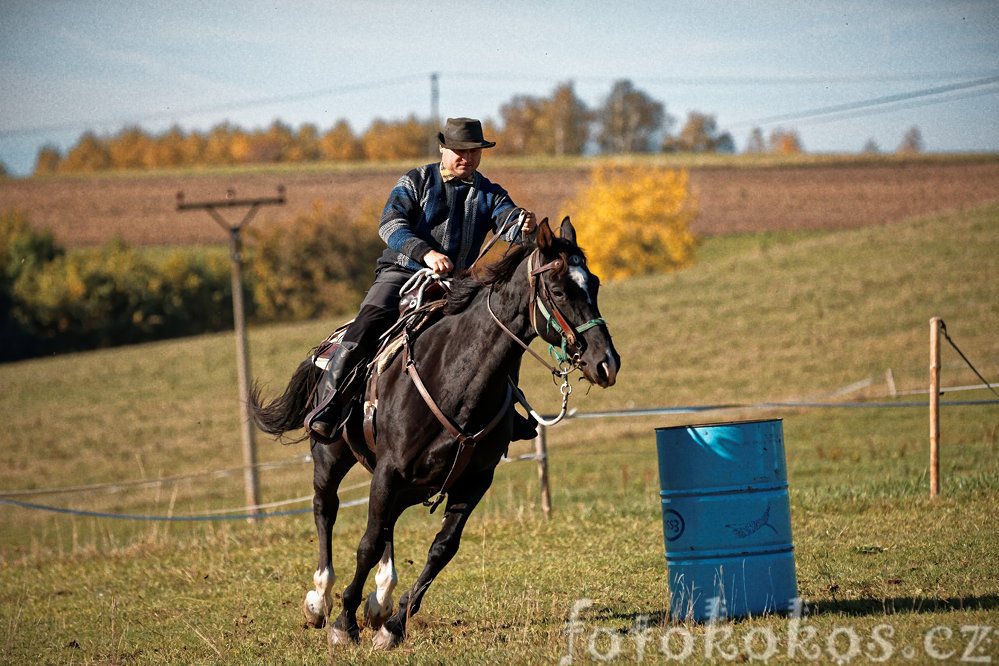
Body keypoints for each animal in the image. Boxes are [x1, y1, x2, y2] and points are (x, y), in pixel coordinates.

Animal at [250, 217, 616, 648]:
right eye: (559, 289)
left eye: (594, 283)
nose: (606, 363)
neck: (456, 377)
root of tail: (331, 343)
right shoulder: (389, 471)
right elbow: (367, 544)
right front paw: (344, 623)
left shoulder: (474, 481)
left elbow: (441, 549)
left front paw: (392, 626)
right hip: (331, 458)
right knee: (326, 509)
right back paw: (320, 601)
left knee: (385, 524)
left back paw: (380, 601)